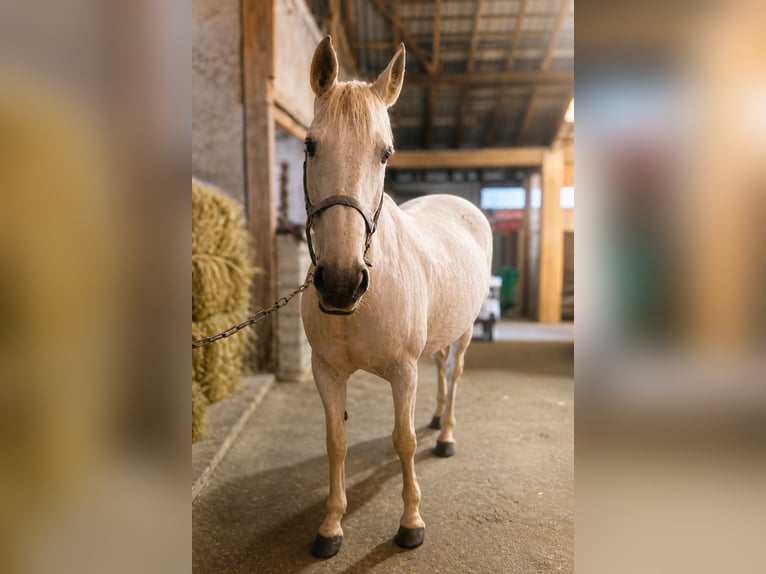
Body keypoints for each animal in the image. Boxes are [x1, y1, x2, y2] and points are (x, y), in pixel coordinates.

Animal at [300, 36, 492, 558]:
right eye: (310, 145)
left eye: (385, 153)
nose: (341, 281)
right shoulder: (326, 372)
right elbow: (335, 441)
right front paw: (331, 525)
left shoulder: (403, 371)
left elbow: (402, 440)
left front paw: (410, 524)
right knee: (441, 368)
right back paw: (436, 417)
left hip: (467, 331)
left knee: (456, 372)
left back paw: (445, 435)